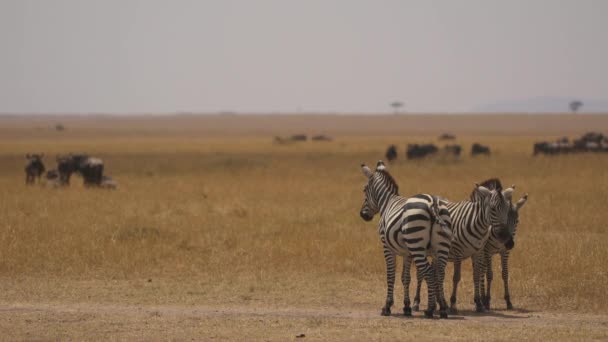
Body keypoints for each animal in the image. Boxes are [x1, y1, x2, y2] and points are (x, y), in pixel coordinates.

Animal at [358, 160, 454, 318]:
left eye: (365, 190)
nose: (363, 215)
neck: (387, 202)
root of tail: (433, 202)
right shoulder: (407, 252)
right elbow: (405, 277)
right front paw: (407, 307)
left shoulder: (387, 247)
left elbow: (391, 275)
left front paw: (387, 307)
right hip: (440, 246)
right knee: (439, 273)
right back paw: (442, 309)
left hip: (417, 246)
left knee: (429, 272)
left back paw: (430, 309)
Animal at [406, 180, 516, 314]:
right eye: (493, 209)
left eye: (507, 210)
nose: (508, 242)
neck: (477, 225)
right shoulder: (458, 252)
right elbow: (456, 277)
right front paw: (453, 303)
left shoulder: (478, 252)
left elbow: (476, 275)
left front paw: (479, 303)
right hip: (419, 248)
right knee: (420, 274)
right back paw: (416, 303)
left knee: (435, 273)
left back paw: (439, 302)